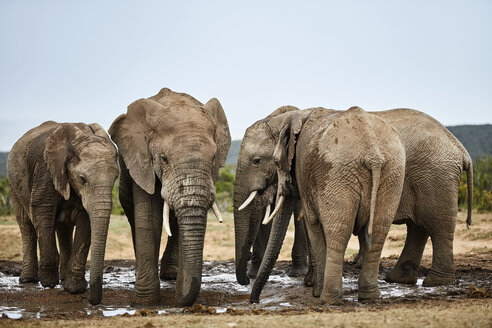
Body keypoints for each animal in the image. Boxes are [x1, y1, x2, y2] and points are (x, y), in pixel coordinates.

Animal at [7, 121, 120, 304]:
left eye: (116, 178)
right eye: (82, 179)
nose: (93, 302)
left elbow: (86, 222)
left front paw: (74, 288)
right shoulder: (45, 171)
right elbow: (42, 212)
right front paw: (48, 283)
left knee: (64, 229)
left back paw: (63, 279)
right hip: (13, 184)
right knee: (26, 225)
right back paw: (28, 280)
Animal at [108, 88, 231, 308]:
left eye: (213, 159)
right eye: (163, 159)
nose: (179, 302)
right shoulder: (143, 161)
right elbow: (150, 219)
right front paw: (145, 303)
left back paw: (171, 275)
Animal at [242, 106, 472, 304]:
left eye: (257, 161)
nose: (254, 300)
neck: (295, 115)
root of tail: (460, 149)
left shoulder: (306, 172)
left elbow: (312, 223)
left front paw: (313, 289)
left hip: (423, 176)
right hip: (393, 174)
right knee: (390, 230)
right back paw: (382, 288)